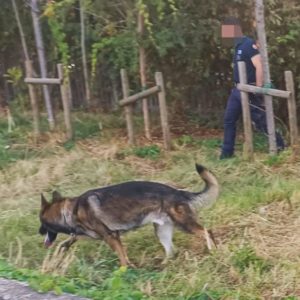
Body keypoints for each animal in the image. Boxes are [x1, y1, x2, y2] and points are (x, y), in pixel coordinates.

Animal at [39, 165, 218, 266]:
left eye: (42, 222)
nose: (39, 232)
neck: (71, 210)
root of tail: (178, 192)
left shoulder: (111, 236)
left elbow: (122, 257)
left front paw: (124, 271)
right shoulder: (94, 234)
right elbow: (71, 239)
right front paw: (63, 247)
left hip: (185, 224)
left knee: (207, 232)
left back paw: (213, 250)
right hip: (162, 232)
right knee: (171, 251)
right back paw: (163, 265)